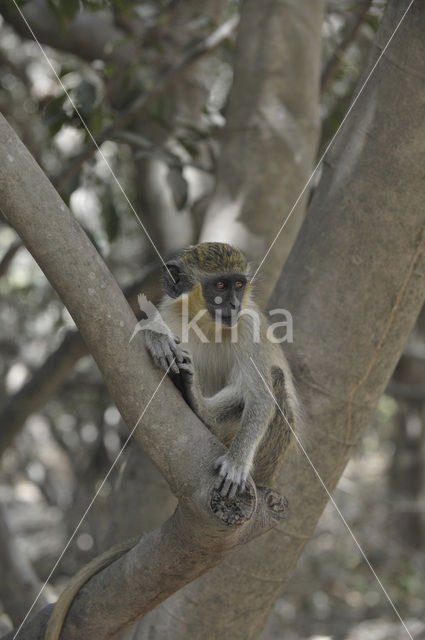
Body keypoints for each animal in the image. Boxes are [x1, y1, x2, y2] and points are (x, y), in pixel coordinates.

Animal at [144, 242, 296, 498]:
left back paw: (202, 409)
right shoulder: (171, 314)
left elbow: (261, 397)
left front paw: (236, 462)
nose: (235, 304)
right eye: (220, 285)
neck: (207, 324)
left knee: (275, 377)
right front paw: (156, 336)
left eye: (238, 285)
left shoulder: (248, 326)